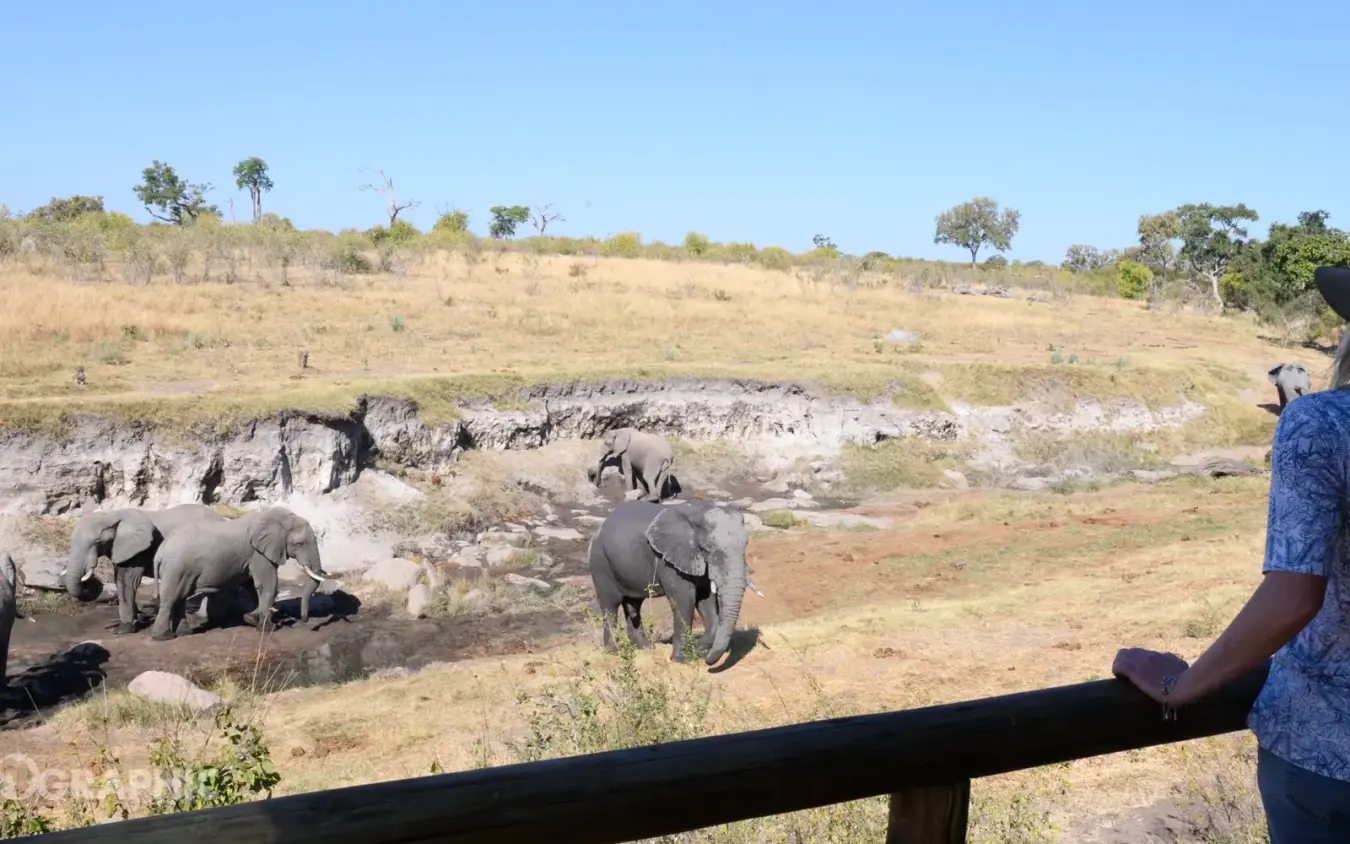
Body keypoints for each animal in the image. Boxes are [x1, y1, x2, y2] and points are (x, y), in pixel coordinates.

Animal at [64, 503, 226, 635]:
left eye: (97, 542)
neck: (113, 515)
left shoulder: (140, 549)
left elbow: (128, 582)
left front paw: (123, 630)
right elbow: (119, 579)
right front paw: (136, 619)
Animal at [149, 506, 326, 641]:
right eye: (299, 544)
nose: (305, 620)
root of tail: (159, 553)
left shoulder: (250, 557)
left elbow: (251, 584)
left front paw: (250, 619)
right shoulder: (258, 553)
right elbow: (267, 584)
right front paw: (268, 628)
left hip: (179, 570)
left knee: (180, 597)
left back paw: (184, 634)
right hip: (176, 568)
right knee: (171, 599)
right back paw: (163, 637)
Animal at [587, 499, 749, 666]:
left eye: (746, 544)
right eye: (709, 547)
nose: (706, 660)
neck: (698, 512)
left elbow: (705, 598)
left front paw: (699, 648)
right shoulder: (668, 559)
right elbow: (685, 599)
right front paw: (681, 660)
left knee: (633, 604)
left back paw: (644, 648)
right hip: (600, 561)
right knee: (610, 604)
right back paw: (614, 652)